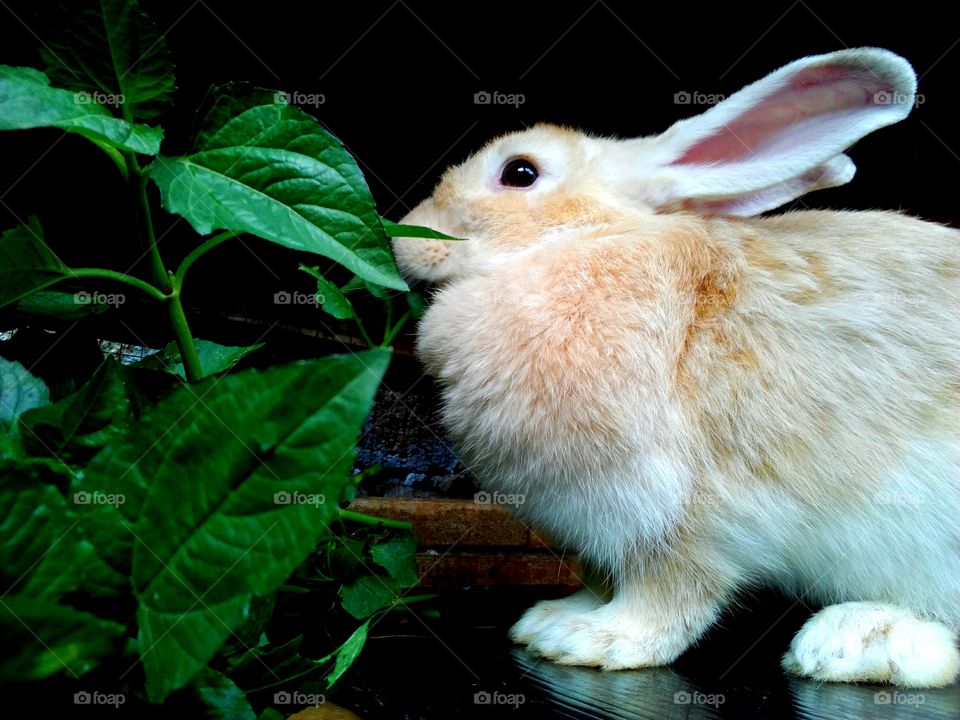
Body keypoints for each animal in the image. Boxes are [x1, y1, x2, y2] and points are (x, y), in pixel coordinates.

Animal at [390, 47, 960, 688]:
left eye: (520, 172)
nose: (402, 238)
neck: (588, 241)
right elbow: (600, 582)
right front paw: (552, 620)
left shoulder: (679, 518)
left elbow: (671, 597)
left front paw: (590, 640)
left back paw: (855, 639)